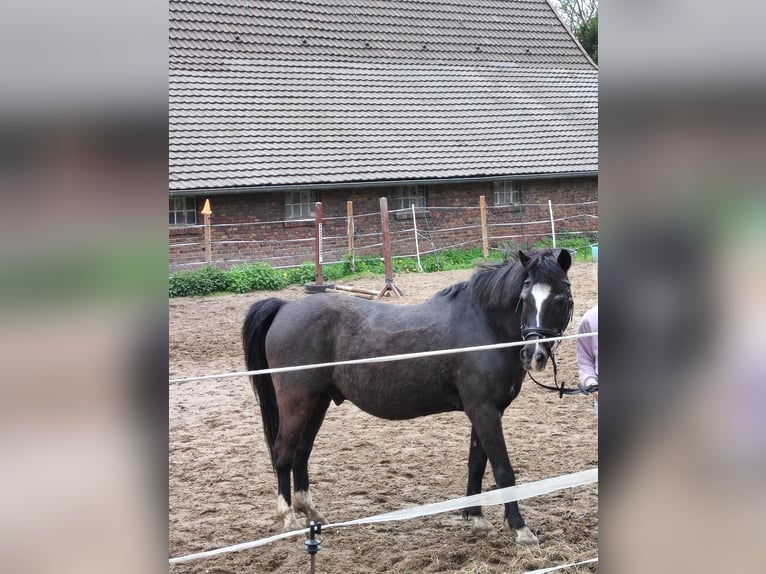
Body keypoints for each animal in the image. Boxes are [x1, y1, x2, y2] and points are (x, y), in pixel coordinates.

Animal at [243, 250, 572, 548]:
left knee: (302, 452)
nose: (534, 355)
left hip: (318, 402)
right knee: (283, 453)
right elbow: (503, 470)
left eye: (560, 299)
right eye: (524, 297)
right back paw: (288, 517)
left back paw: (310, 512)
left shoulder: (484, 412)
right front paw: (520, 529)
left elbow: (477, 462)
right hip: (297, 402)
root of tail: (285, 307)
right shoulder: (484, 411)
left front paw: (475, 516)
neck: (484, 325)